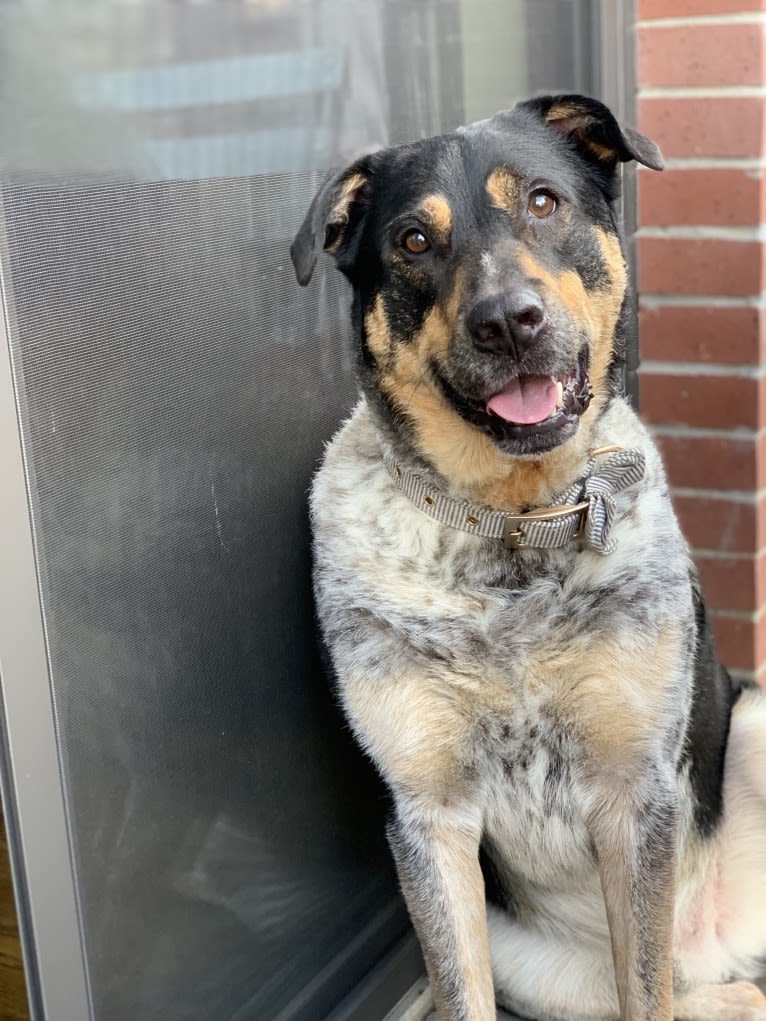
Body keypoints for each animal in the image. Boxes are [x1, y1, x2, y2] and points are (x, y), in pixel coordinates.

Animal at [290, 91, 766, 1016]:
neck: (513, 528)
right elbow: (461, 990)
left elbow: (645, 988)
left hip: (759, 724)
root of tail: (709, 958)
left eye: (544, 202)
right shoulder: (430, 818)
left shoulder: (636, 796)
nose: (509, 322)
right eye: (414, 240)